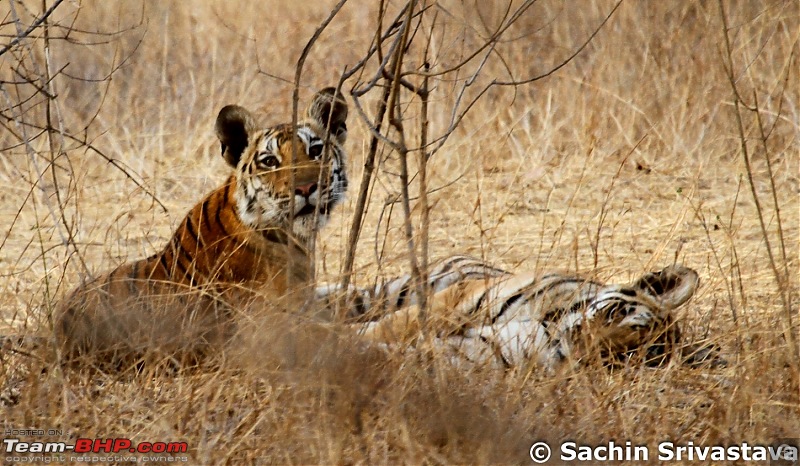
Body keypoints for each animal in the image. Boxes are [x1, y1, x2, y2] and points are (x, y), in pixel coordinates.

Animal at [318, 255, 720, 372]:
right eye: (616, 313)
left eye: (625, 357)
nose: (581, 342)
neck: (552, 325)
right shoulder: (458, 301)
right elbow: (389, 330)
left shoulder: (487, 353)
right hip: (392, 292)